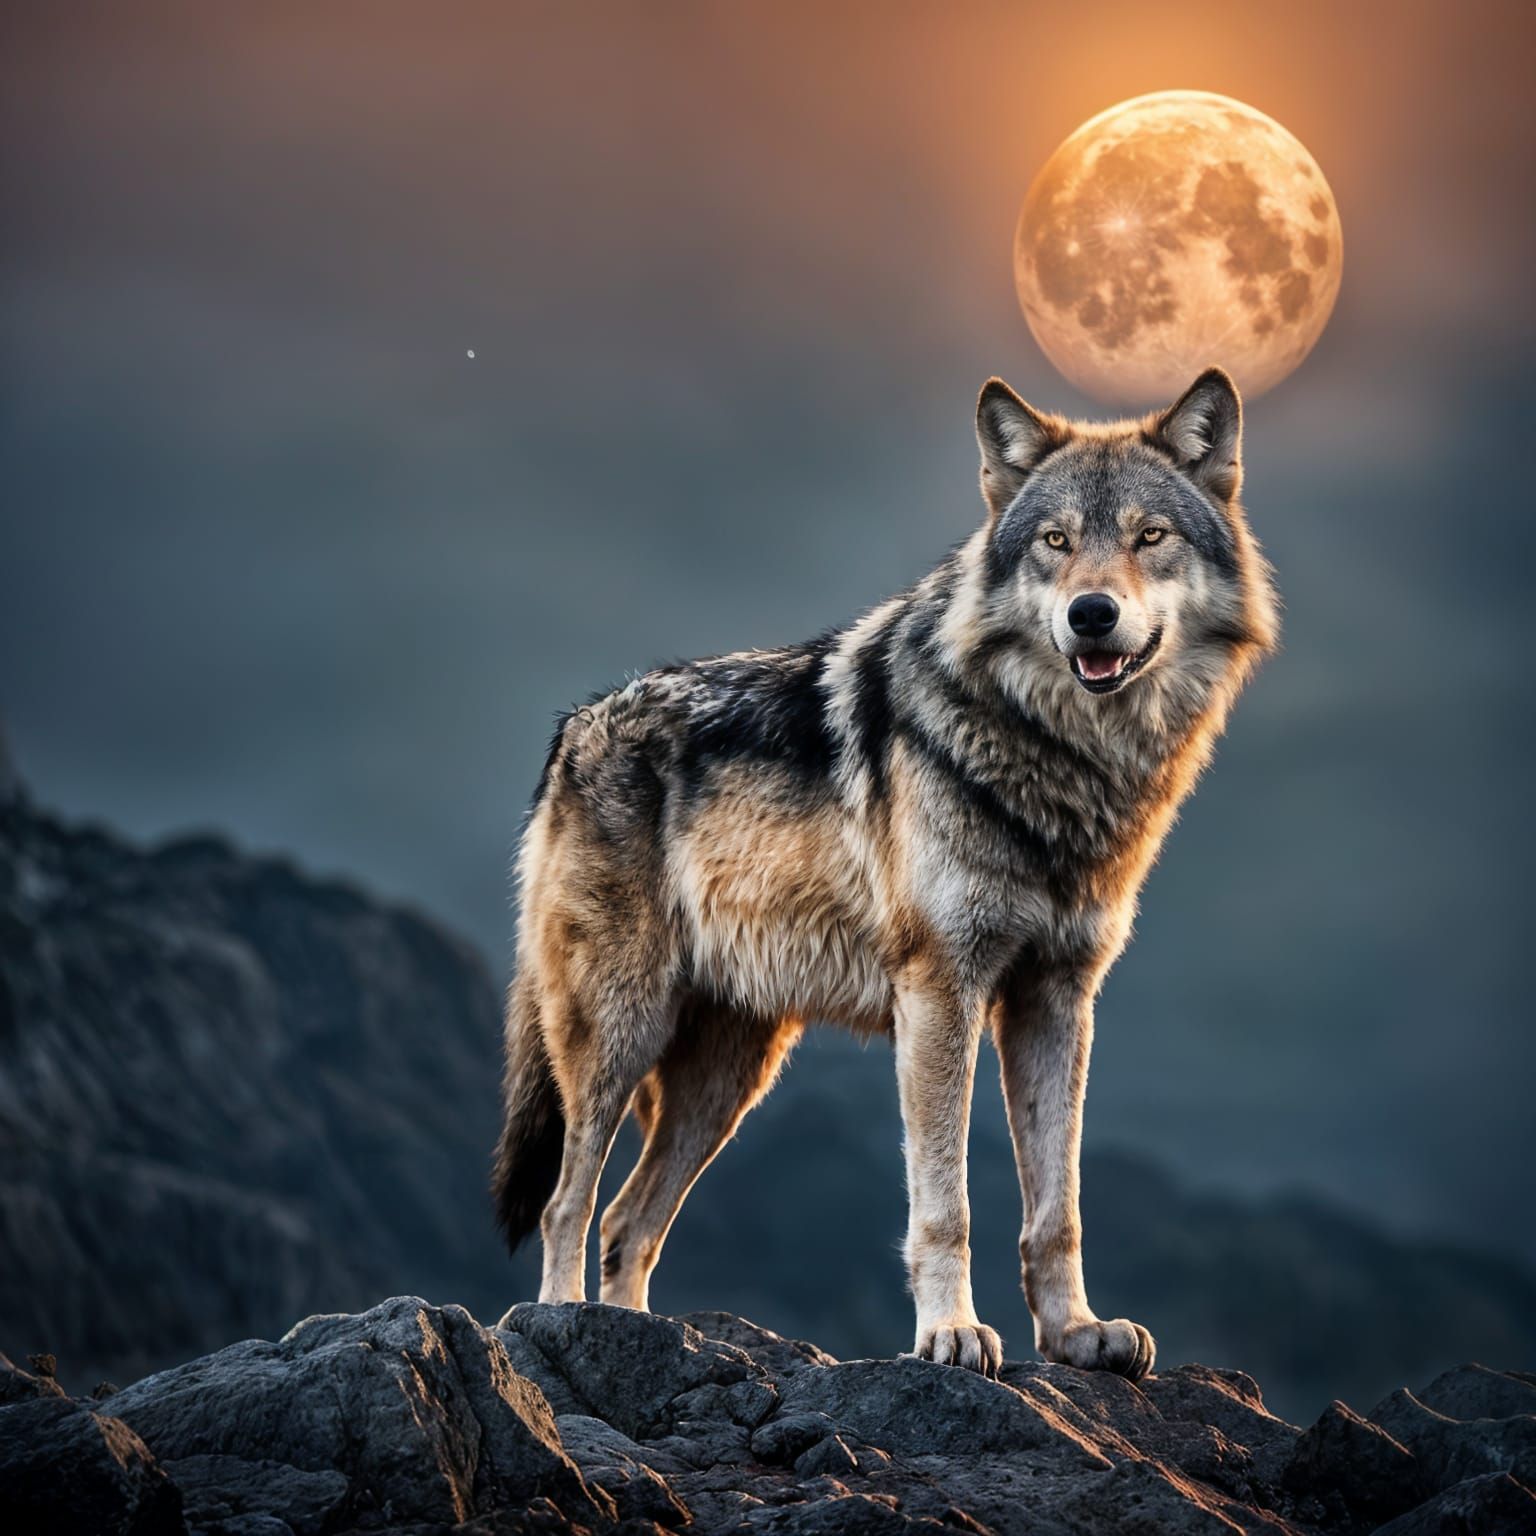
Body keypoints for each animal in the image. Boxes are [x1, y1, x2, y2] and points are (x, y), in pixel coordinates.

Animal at [491, 366, 1278, 1378]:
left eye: (1150, 537)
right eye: (1057, 542)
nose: (1091, 613)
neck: (1060, 764)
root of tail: (573, 729)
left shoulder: (1057, 997)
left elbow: (1056, 1204)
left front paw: (1074, 1333)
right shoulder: (942, 991)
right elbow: (947, 1204)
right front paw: (950, 1333)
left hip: (731, 1076)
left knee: (631, 1221)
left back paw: (633, 1332)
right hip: (620, 1032)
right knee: (569, 1201)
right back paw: (560, 1321)